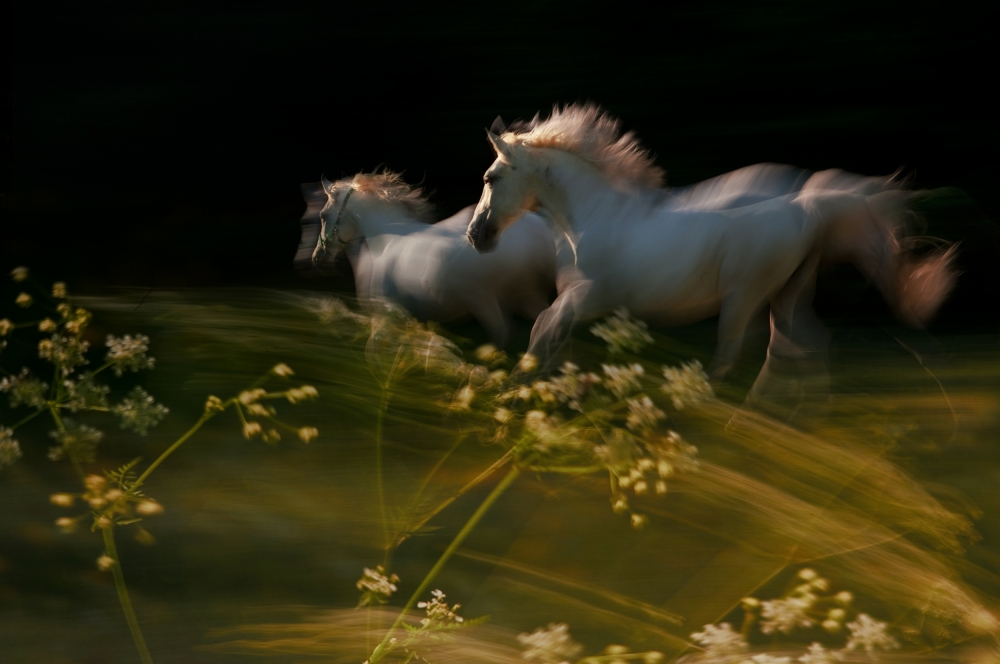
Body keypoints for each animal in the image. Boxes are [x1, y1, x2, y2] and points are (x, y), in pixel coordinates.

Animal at [303, 171, 558, 349]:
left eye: (323, 216)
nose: (317, 257)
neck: (385, 242)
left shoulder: (384, 320)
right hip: (527, 298)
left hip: (484, 302)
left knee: (504, 335)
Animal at [466, 104, 957, 399]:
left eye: (491, 178)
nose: (475, 235)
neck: (594, 216)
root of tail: (805, 205)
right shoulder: (576, 301)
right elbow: (546, 335)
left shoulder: (588, 298)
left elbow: (541, 332)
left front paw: (514, 393)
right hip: (787, 294)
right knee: (805, 347)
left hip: (744, 296)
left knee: (740, 355)